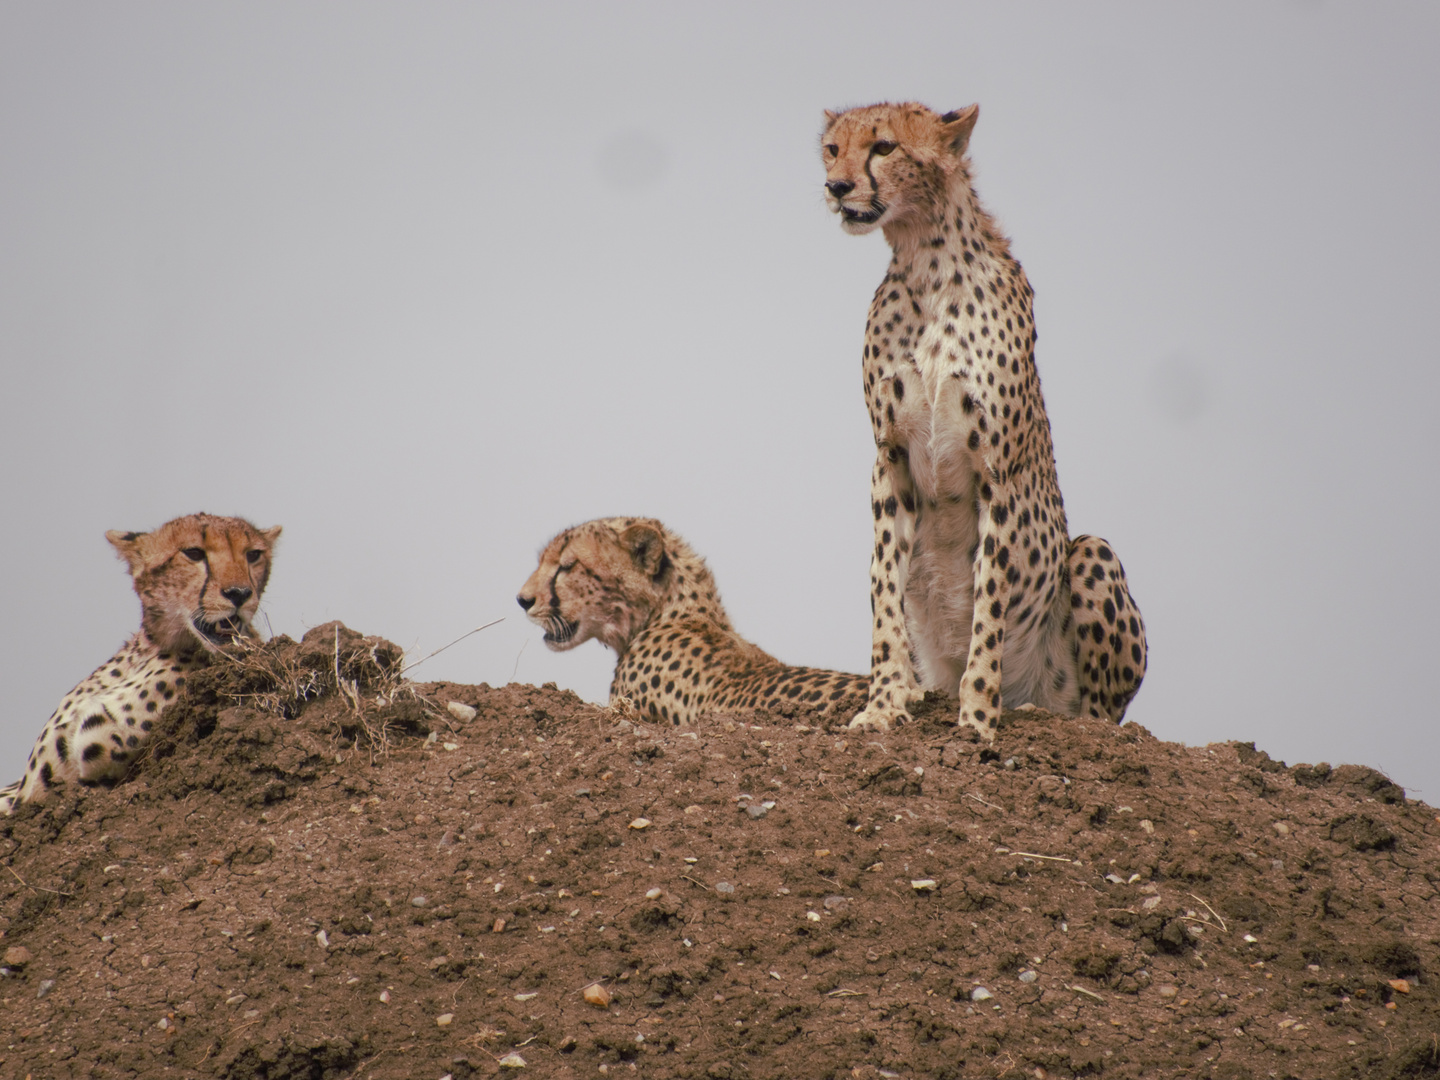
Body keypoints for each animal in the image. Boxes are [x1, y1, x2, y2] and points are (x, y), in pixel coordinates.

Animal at [823, 99, 1146, 743]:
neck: (924, 261)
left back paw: (1045, 715)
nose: (836, 187)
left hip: (1090, 556)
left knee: (1098, 711)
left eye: (884, 147)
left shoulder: (997, 474)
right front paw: (884, 704)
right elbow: (882, 591)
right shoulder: (889, 460)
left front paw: (975, 721)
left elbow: (988, 604)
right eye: (832, 148)